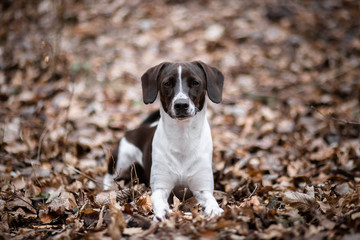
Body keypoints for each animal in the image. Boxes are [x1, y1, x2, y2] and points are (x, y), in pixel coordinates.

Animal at [102, 61, 224, 220]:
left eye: (195, 83)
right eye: (167, 83)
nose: (181, 104)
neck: (183, 138)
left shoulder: (202, 188)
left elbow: (211, 199)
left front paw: (214, 209)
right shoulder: (161, 188)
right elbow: (159, 202)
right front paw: (163, 213)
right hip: (121, 161)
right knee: (109, 176)